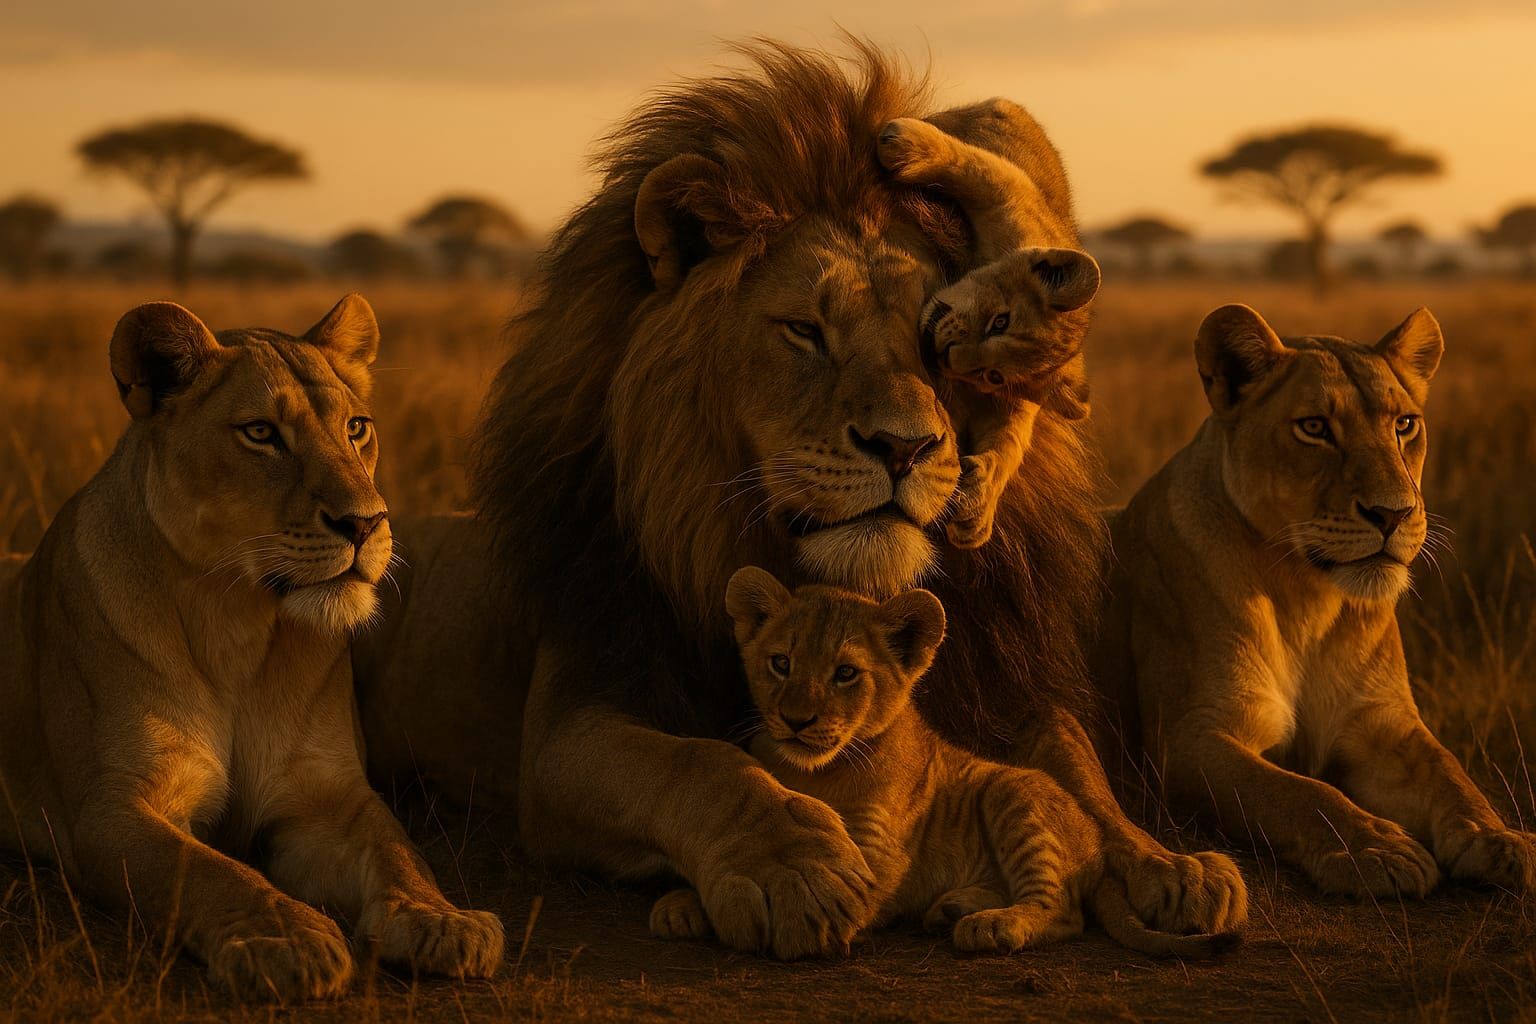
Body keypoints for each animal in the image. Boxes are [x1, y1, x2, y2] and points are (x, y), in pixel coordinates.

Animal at [0, 297, 504, 1002]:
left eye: (357, 428)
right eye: (262, 434)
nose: (366, 523)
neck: (237, 625)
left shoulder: (328, 797)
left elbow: (400, 852)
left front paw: (443, 921)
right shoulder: (112, 806)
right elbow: (208, 872)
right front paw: (288, 939)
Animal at [651, 568, 1236, 958]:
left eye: (845, 674)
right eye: (781, 663)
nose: (796, 720)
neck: (817, 771)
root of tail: (1095, 844)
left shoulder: (877, 852)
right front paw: (682, 903)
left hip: (1011, 791)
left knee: (1063, 910)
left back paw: (991, 926)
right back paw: (954, 908)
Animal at [876, 115, 1101, 548]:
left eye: (994, 376)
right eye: (1001, 321)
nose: (948, 357)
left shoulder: (1016, 402)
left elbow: (1010, 439)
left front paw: (978, 505)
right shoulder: (1009, 193)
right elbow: (971, 164)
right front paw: (908, 144)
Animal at [1096, 302, 1536, 899]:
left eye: (1404, 425)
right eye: (1314, 428)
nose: (1393, 513)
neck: (1307, 596)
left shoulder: (1383, 724)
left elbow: (1451, 773)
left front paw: (1500, 839)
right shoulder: (1192, 737)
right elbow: (1303, 795)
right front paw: (1377, 848)